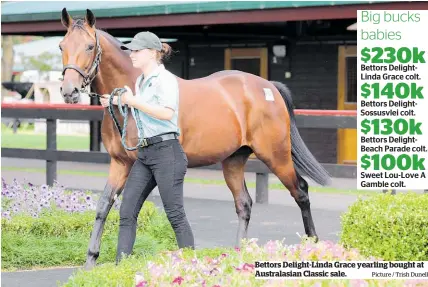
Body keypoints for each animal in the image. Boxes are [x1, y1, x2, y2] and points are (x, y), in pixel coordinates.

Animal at [57, 8, 332, 270]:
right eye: (62, 46)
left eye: (89, 46)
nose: (69, 91)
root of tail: (269, 87)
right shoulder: (120, 163)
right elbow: (104, 206)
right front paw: (91, 260)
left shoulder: (140, 166)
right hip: (234, 161)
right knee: (244, 203)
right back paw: (238, 253)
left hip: (276, 155)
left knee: (301, 191)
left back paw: (313, 244)